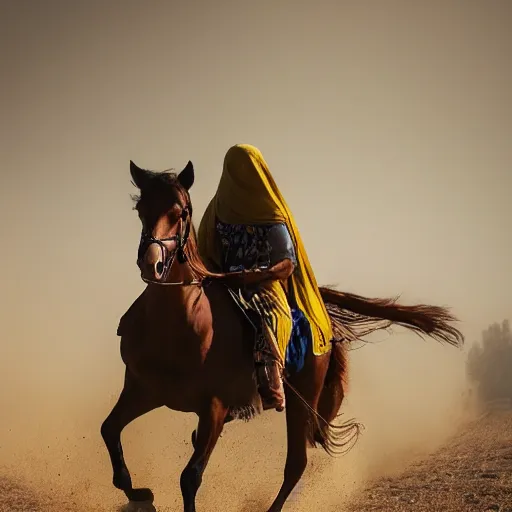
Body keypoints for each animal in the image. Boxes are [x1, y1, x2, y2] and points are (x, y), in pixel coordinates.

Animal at [100, 160, 464, 512]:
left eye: (182, 211)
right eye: (140, 208)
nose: (152, 264)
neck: (176, 327)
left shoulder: (212, 406)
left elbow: (190, 477)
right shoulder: (142, 390)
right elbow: (109, 431)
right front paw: (141, 494)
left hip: (301, 399)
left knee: (296, 464)